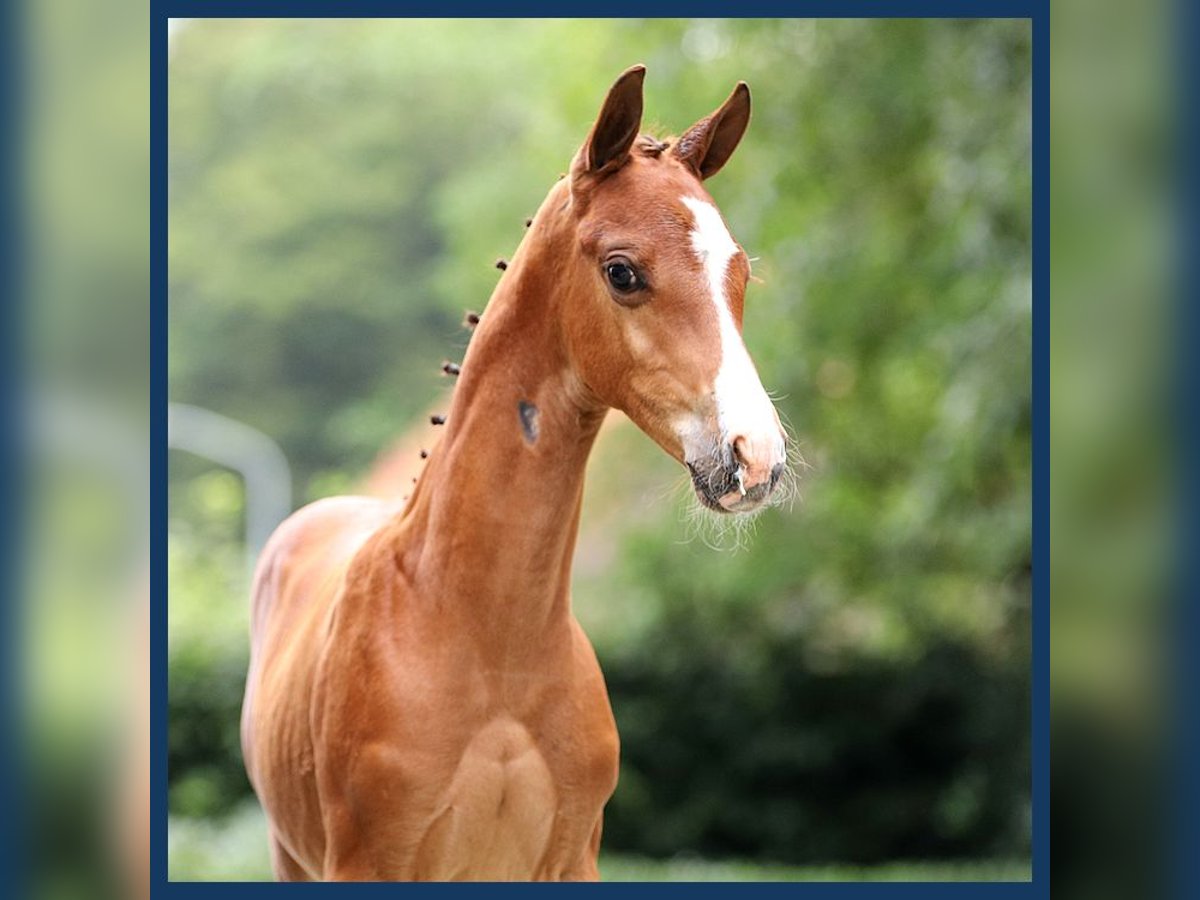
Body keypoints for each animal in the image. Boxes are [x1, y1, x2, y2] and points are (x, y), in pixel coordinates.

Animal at [241, 66, 787, 883]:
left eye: (740, 269)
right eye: (622, 271)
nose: (756, 457)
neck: (495, 643)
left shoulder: (573, 859)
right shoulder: (365, 862)